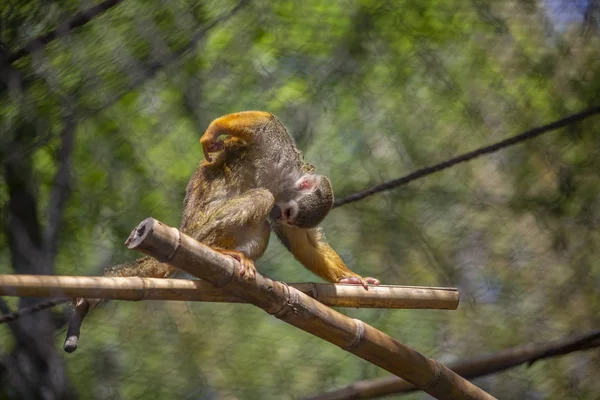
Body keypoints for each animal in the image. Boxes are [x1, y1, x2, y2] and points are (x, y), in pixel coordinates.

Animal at [64, 111, 376, 352]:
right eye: (288, 213)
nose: (279, 215)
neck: (283, 179)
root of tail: (185, 228)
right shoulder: (279, 150)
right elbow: (263, 124)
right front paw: (212, 134)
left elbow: (303, 244)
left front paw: (350, 278)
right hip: (201, 226)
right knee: (261, 196)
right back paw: (217, 249)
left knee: (262, 220)